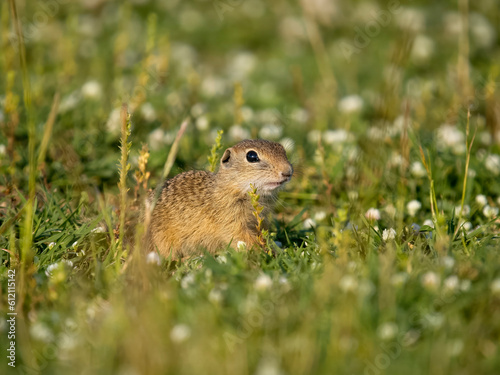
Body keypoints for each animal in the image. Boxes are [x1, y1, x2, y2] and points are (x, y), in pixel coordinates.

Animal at [145, 140, 292, 260]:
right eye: (251, 156)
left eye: (282, 149)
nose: (288, 172)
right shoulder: (230, 222)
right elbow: (243, 238)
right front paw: (264, 253)